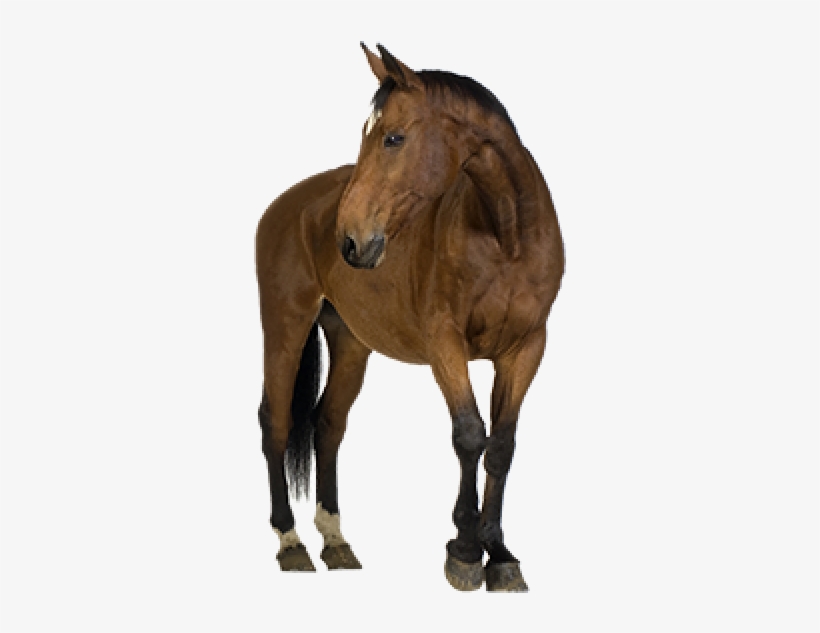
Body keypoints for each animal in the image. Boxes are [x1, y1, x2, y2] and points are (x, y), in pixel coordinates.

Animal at [255, 43, 564, 592]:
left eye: (393, 137)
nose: (349, 240)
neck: (505, 235)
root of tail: (287, 205)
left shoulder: (526, 347)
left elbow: (501, 445)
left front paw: (500, 554)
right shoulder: (446, 344)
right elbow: (470, 434)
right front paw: (464, 550)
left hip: (350, 341)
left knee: (328, 423)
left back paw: (335, 541)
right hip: (285, 325)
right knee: (277, 421)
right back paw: (291, 543)